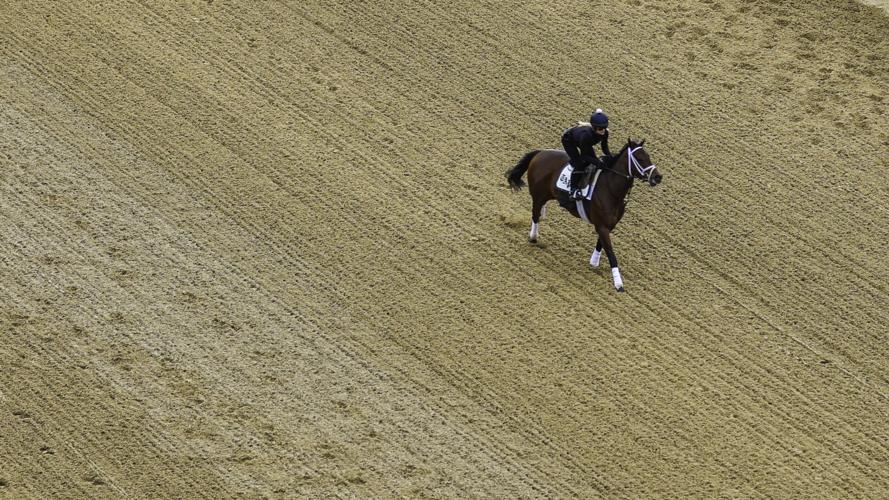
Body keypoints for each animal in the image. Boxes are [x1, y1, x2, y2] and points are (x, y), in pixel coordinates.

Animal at [504, 139, 662, 292]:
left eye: (648, 156)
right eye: (640, 158)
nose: (658, 177)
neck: (611, 189)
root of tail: (540, 152)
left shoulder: (609, 225)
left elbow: (600, 244)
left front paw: (594, 262)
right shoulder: (602, 226)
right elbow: (611, 253)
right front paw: (619, 284)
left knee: (539, 212)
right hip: (538, 195)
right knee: (535, 214)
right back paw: (533, 236)